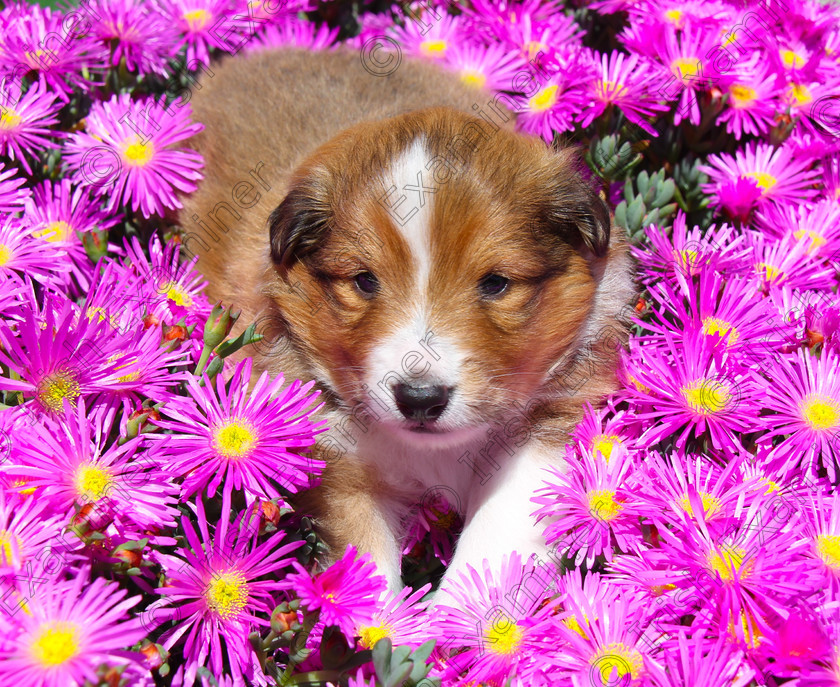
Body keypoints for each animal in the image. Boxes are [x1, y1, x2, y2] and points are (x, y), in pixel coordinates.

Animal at [179, 48, 636, 596]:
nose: (420, 399)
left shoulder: (548, 423)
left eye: (496, 283)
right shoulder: (339, 461)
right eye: (363, 281)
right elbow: (364, 568)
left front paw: (462, 615)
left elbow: (496, 538)